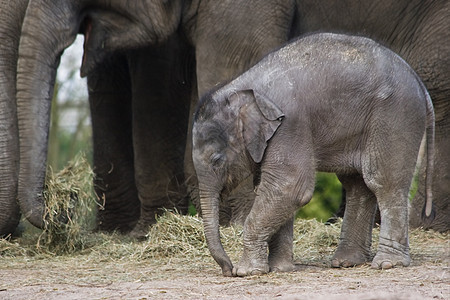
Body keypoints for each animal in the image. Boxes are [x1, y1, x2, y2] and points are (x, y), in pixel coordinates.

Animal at [192, 32, 434, 276]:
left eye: (217, 160)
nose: (227, 269)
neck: (243, 88)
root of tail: (418, 82)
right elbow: (271, 189)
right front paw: (280, 269)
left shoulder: (290, 126)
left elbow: (290, 187)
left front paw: (247, 272)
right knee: (357, 184)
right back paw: (347, 262)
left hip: (396, 116)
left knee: (383, 182)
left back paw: (387, 263)